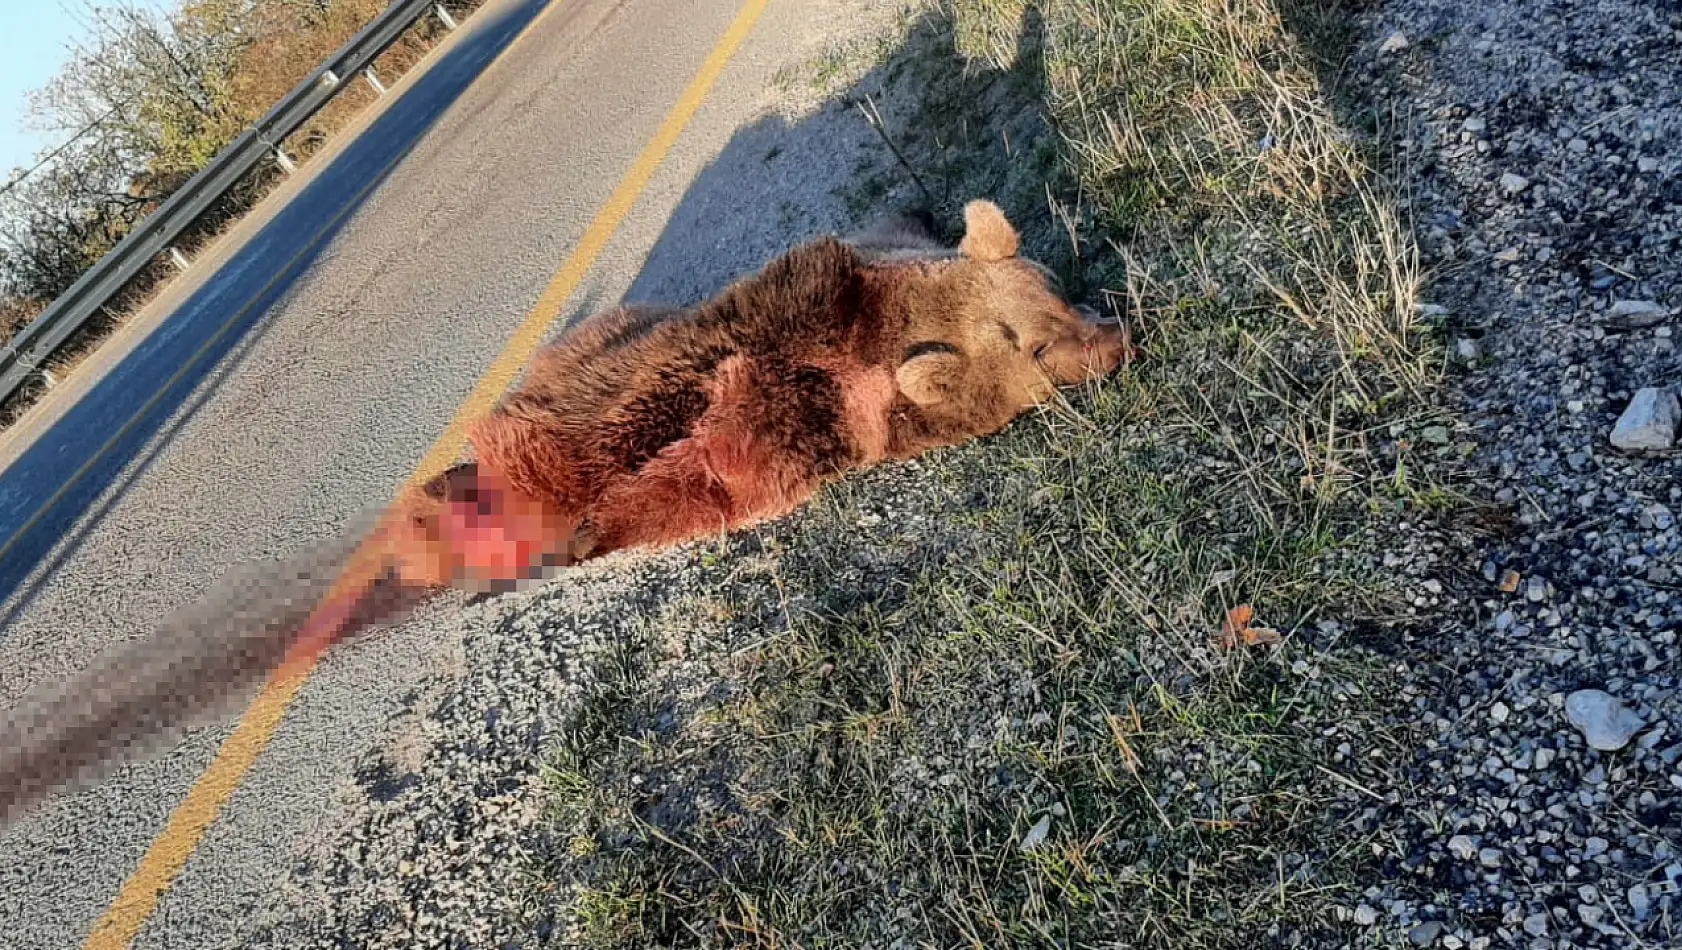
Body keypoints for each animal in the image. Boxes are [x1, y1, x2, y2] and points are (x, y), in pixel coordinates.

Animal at [0, 198, 1137, 823]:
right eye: (1032, 330)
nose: (1107, 332)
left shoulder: (803, 433)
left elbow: (739, 448)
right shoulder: (818, 299)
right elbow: (772, 320)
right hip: (571, 374)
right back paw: (462, 503)